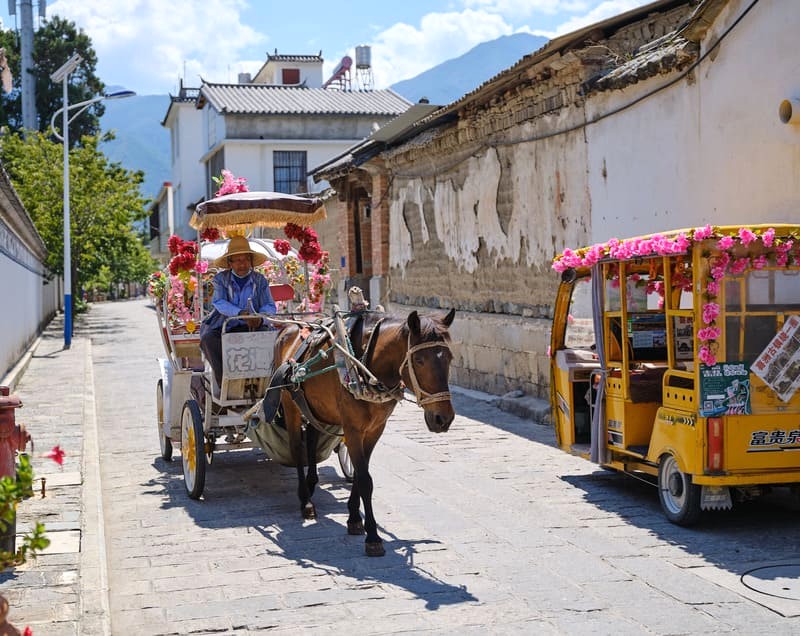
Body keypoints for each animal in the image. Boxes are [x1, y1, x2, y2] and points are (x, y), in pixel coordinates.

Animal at [270, 310, 454, 556]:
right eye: (419, 360)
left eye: (449, 358)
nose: (443, 419)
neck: (365, 365)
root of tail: (288, 328)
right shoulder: (352, 428)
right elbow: (366, 479)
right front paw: (373, 537)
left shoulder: (375, 428)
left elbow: (359, 472)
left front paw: (355, 518)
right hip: (291, 405)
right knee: (297, 448)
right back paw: (306, 501)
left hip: (317, 407)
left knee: (312, 438)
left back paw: (311, 483)